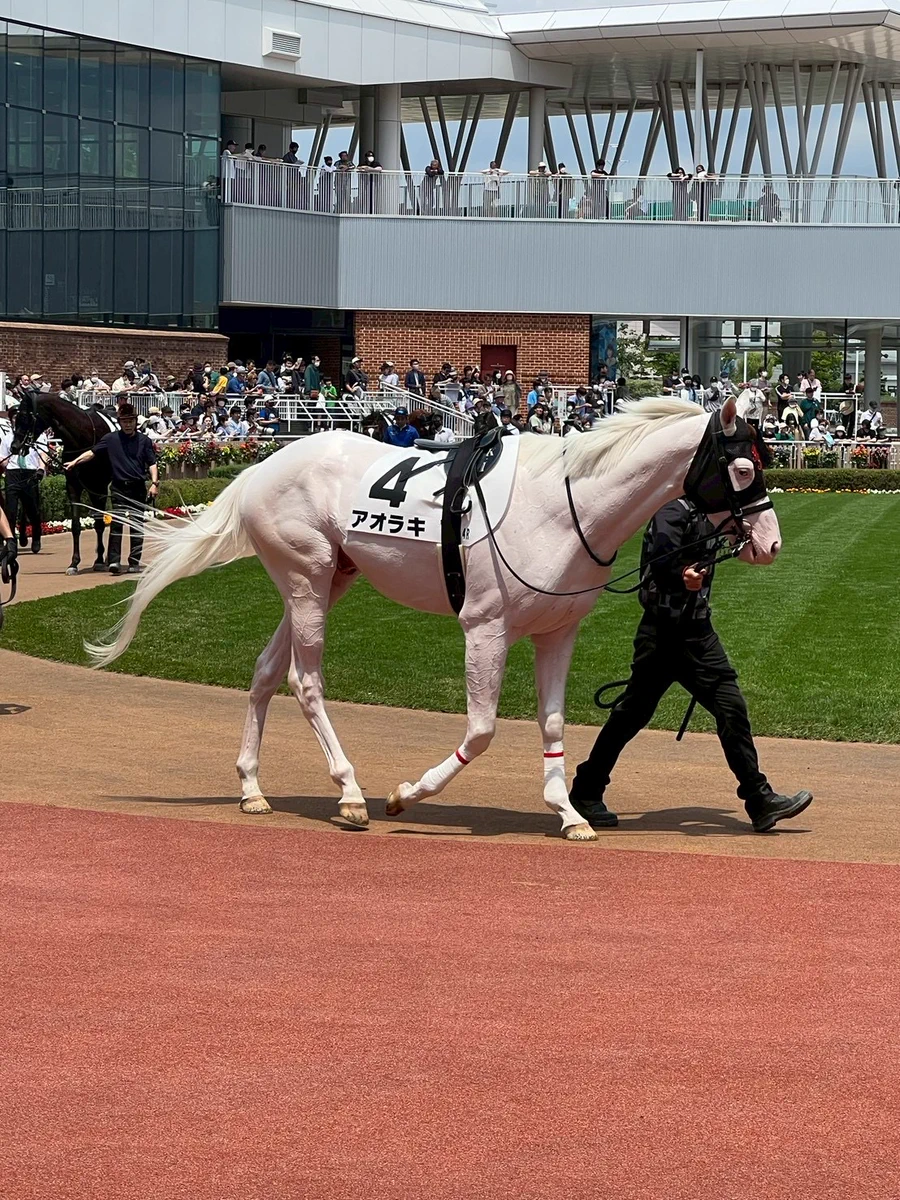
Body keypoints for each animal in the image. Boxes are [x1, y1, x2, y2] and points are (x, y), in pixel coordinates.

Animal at [11, 394, 113, 575]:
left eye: (26, 417)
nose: (14, 446)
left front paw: (100, 560)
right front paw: (74, 563)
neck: (84, 436)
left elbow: (100, 522)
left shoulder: (99, 485)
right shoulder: (73, 485)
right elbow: (76, 525)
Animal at [84, 396, 781, 841]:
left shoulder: (558, 632)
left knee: (262, 673)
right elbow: (482, 729)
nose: (771, 543)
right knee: (304, 682)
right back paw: (350, 794)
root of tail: (261, 464)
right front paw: (408, 793)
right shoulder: (486, 628)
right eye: (743, 465)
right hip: (306, 579)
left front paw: (570, 813)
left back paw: (253, 788)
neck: (565, 504)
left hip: (329, 579)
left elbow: (554, 721)